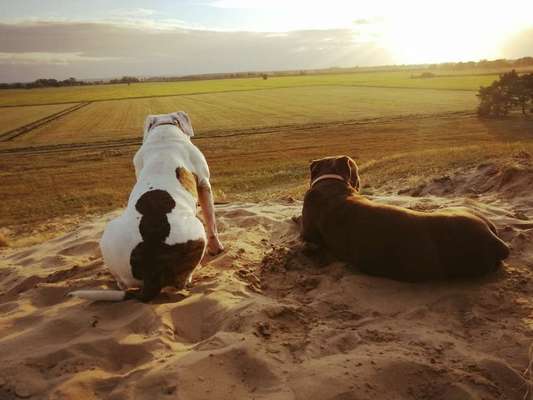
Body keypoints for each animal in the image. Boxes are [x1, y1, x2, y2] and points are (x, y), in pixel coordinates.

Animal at [68, 111, 222, 302]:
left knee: (122, 282)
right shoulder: (204, 183)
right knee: (182, 281)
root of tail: (151, 271)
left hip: (110, 237)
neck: (163, 128)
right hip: (196, 229)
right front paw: (217, 248)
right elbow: (211, 220)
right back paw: (191, 276)